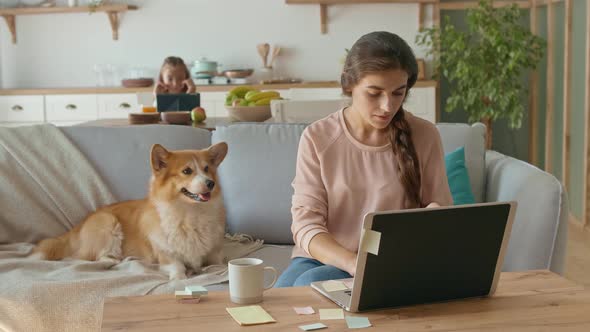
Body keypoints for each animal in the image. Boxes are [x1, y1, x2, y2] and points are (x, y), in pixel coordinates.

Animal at [30, 143, 229, 280]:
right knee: (88, 257)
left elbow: (218, 263)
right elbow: (177, 268)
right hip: (108, 222)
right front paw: (180, 278)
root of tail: (77, 227)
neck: (191, 213)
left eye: (207, 169)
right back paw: (113, 260)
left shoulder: (214, 256)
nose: (210, 183)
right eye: (187, 171)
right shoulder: (166, 255)